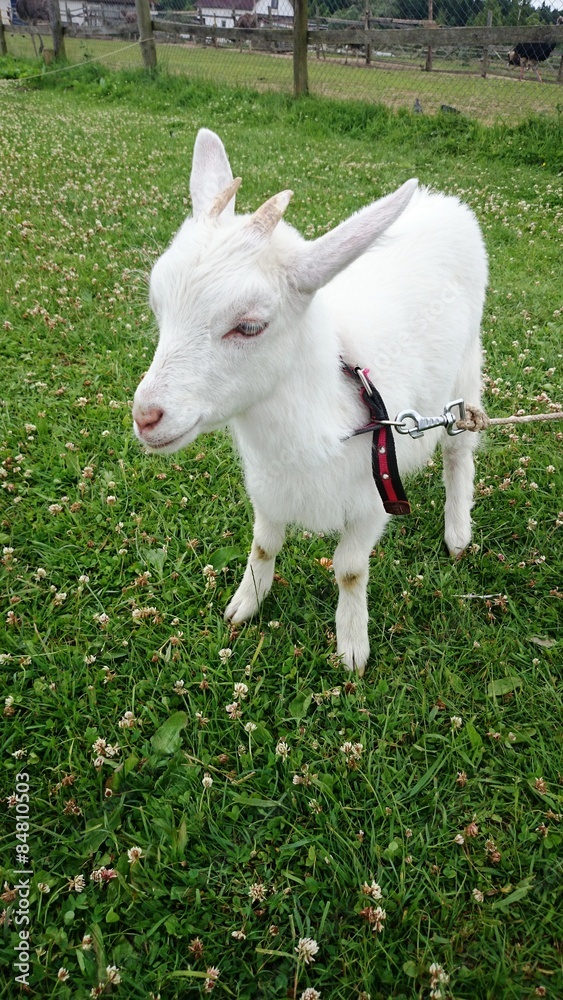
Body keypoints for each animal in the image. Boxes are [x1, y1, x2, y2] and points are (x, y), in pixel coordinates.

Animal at [132, 129, 488, 674]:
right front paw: (245, 604)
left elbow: (349, 570)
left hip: (466, 367)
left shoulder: (373, 498)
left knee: (458, 447)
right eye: (158, 305)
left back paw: (457, 532)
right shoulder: (266, 487)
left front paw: (352, 647)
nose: (146, 416)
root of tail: (444, 201)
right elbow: (263, 545)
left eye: (249, 325)